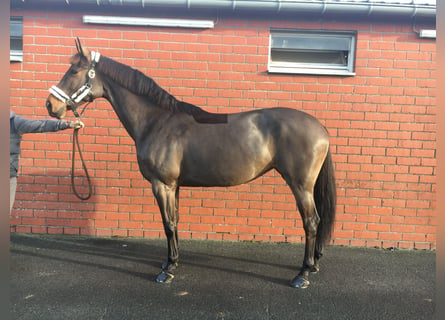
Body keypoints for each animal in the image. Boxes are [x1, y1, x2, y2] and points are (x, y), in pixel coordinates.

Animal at [46, 38, 336, 288]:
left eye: (74, 70)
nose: (51, 105)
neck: (157, 121)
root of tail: (321, 128)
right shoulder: (174, 186)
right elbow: (174, 221)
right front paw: (171, 262)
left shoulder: (161, 184)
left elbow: (167, 224)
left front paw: (167, 271)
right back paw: (313, 266)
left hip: (300, 186)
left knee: (311, 222)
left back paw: (302, 274)